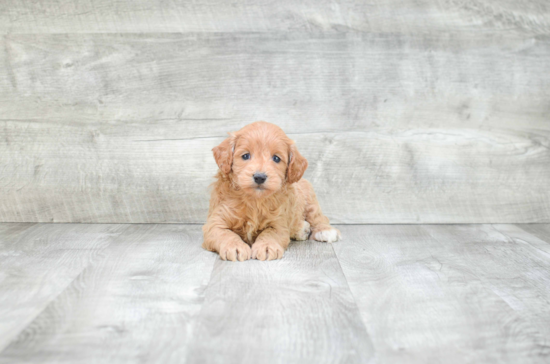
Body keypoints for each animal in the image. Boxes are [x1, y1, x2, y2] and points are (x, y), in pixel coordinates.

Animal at [203, 122, 340, 262]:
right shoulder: (216, 221)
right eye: (245, 156)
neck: (255, 200)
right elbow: (224, 233)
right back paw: (302, 229)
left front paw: (266, 246)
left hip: (310, 198)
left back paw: (324, 231)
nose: (259, 177)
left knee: (317, 217)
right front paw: (235, 246)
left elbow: (270, 233)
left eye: (276, 158)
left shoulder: (279, 222)